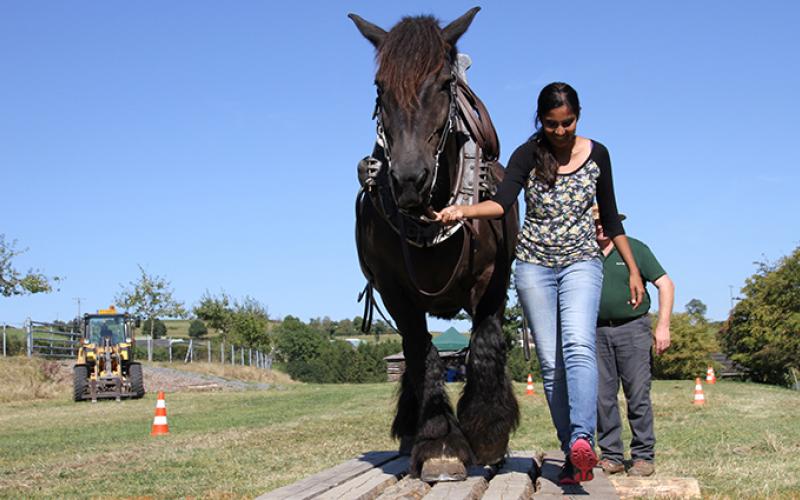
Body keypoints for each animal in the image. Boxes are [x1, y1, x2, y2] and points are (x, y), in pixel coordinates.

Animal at [350, 6, 520, 480]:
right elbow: (420, 352)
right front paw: (438, 441)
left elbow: (485, 343)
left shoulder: (492, 281)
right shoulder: (395, 290)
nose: (409, 178)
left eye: (444, 84)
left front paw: (488, 433)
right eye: (380, 86)